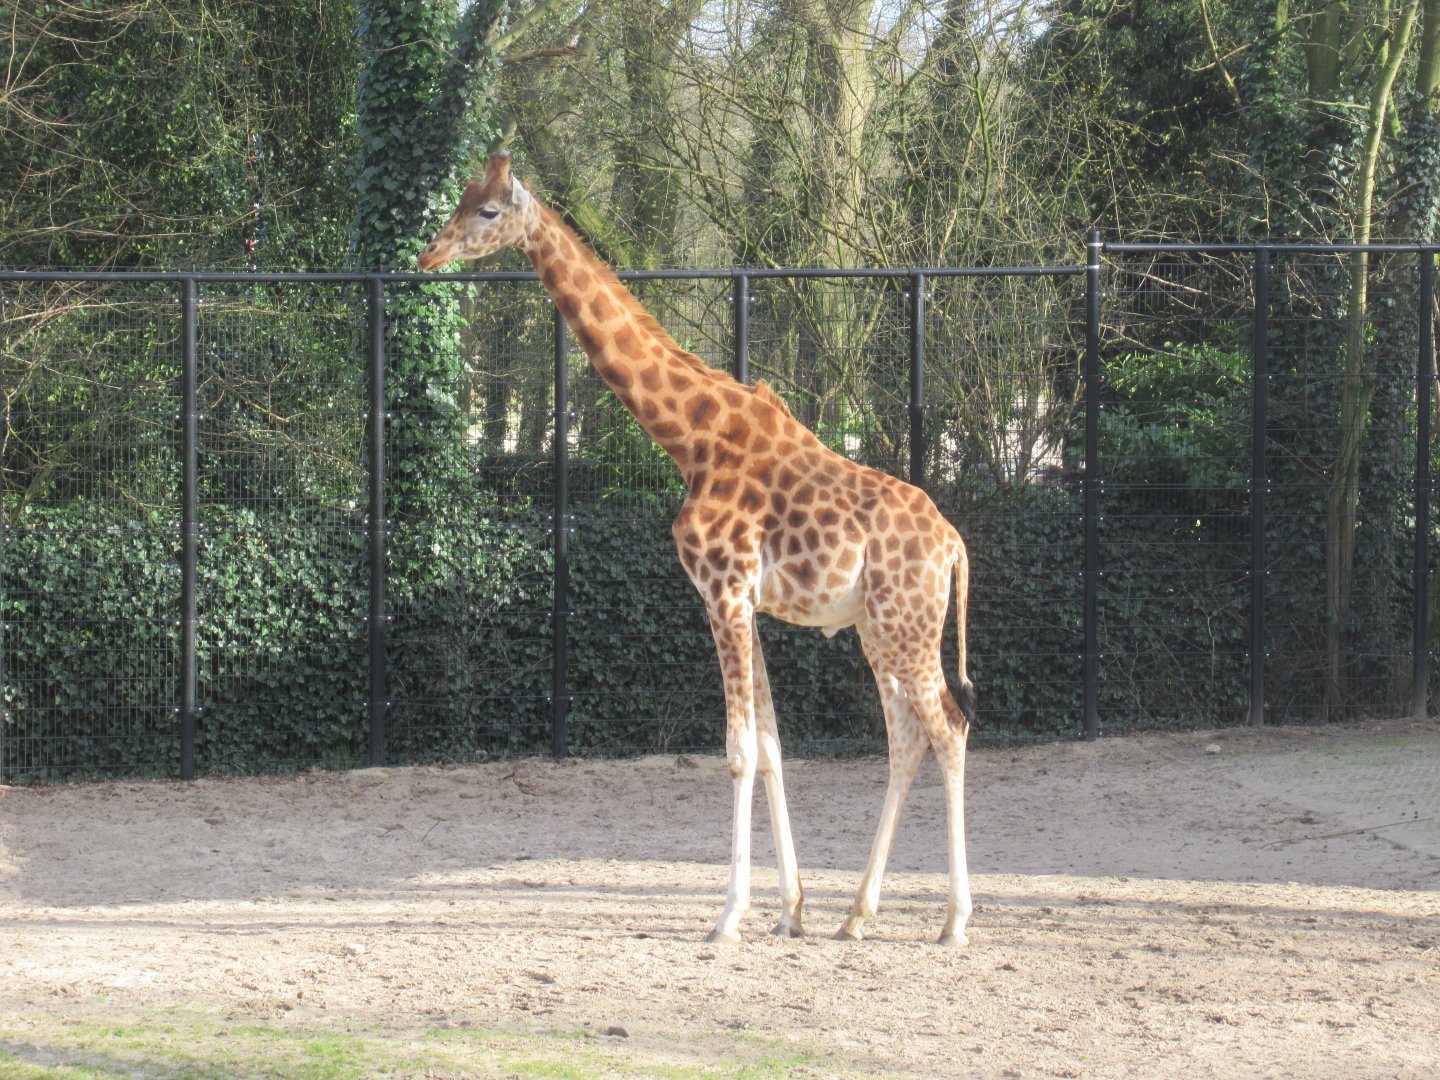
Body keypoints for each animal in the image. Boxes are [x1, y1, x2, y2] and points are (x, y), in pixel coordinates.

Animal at [419, 153, 977, 946]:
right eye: (465, 196)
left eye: (490, 210)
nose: (429, 253)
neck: (691, 438)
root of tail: (954, 544)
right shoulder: (746, 601)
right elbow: (771, 747)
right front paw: (790, 909)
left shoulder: (724, 591)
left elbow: (740, 753)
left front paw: (728, 916)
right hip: (881, 627)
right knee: (908, 738)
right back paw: (856, 915)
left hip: (908, 624)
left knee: (949, 729)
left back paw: (954, 921)